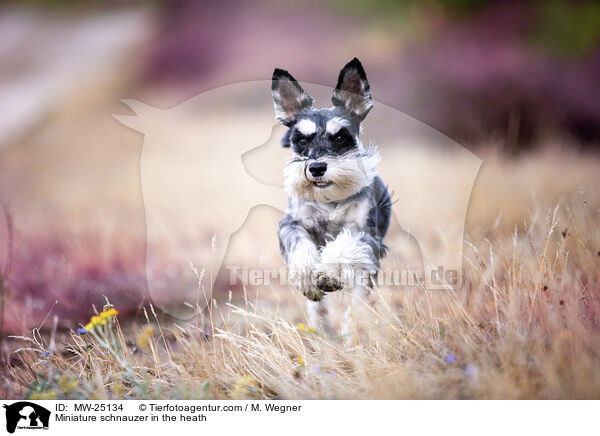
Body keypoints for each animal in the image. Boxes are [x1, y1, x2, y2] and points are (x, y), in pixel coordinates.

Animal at [272, 57, 394, 338]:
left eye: (340, 137)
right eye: (301, 141)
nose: (316, 168)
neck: (330, 200)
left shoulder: (366, 234)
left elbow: (344, 245)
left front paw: (328, 274)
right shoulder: (292, 223)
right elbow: (299, 246)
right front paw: (309, 277)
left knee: (357, 302)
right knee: (319, 308)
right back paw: (321, 329)